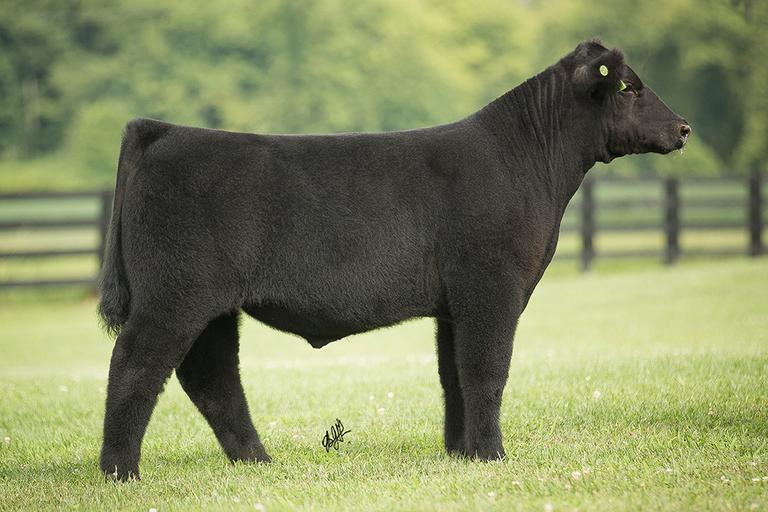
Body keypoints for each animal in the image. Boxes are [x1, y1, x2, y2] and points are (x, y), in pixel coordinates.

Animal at [97, 38, 691, 480]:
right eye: (629, 87)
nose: (684, 127)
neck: (525, 163)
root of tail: (165, 131)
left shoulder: (455, 304)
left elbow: (454, 374)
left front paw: (461, 453)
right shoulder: (490, 287)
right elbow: (486, 369)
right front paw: (492, 455)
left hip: (214, 306)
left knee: (211, 375)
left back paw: (258, 463)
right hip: (175, 293)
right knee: (136, 366)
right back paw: (120, 472)